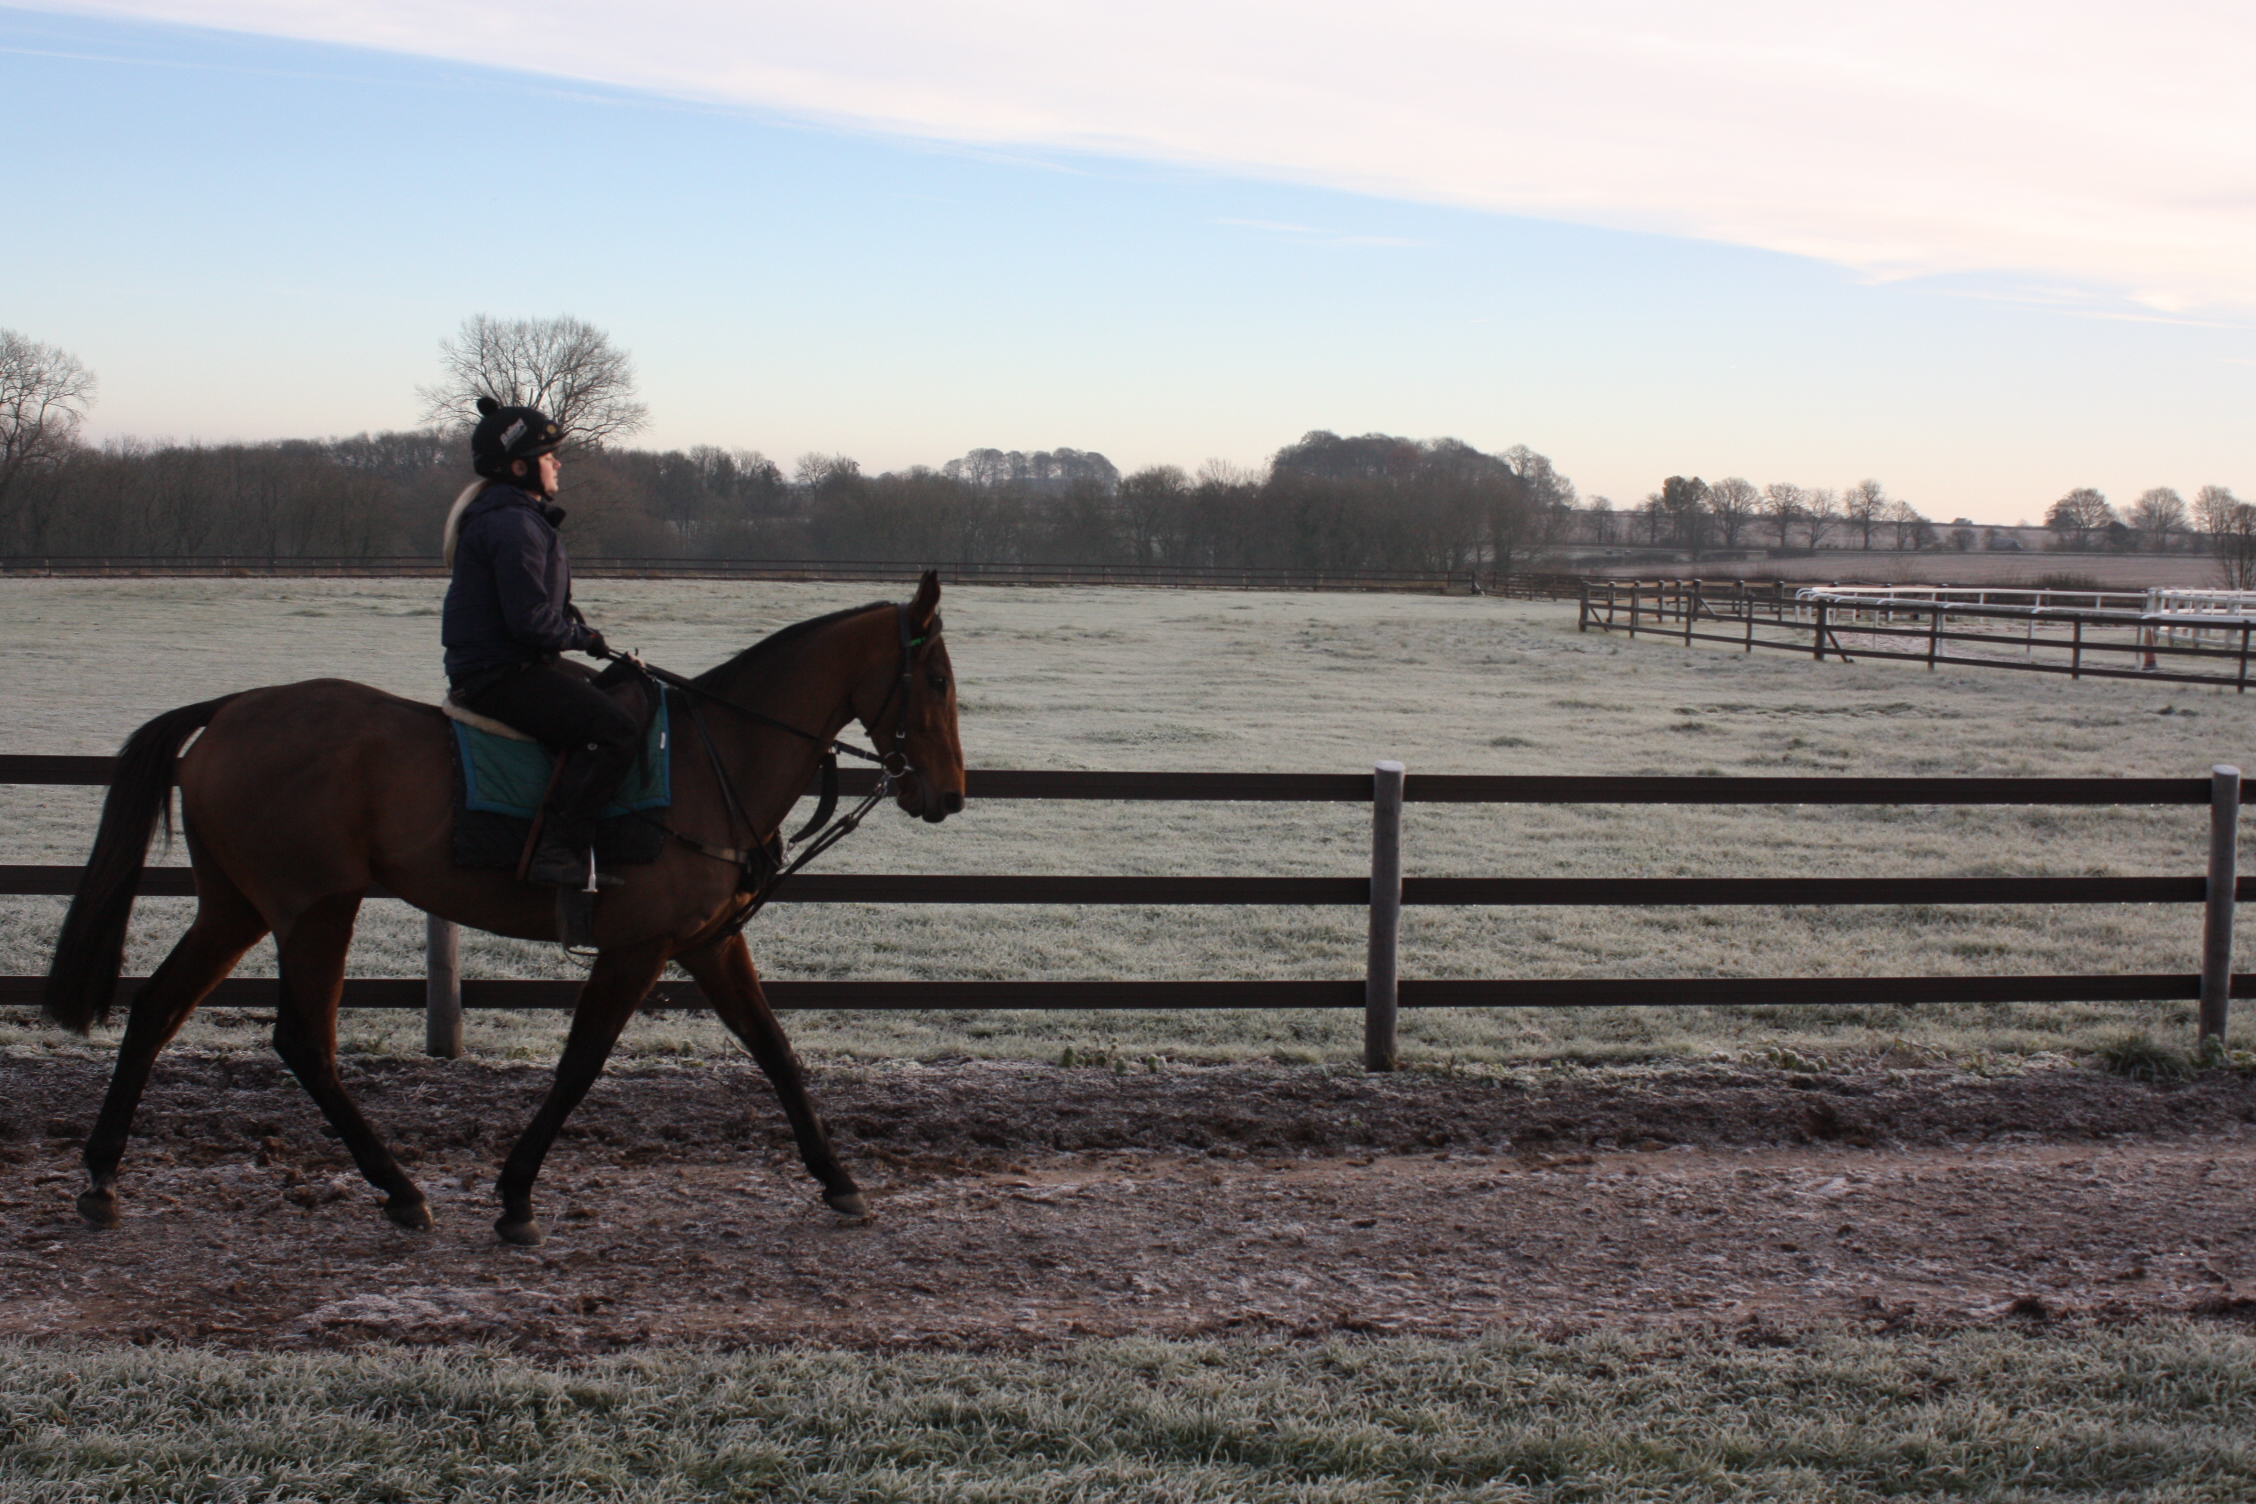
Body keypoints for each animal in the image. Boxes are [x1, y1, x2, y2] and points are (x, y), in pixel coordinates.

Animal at [43, 570, 961, 1244]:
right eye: (937, 680)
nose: (949, 794)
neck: (712, 760)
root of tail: (233, 708)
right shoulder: (640, 946)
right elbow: (582, 1062)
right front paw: (516, 1193)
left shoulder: (705, 943)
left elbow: (775, 1052)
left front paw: (838, 1180)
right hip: (315, 909)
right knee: (304, 1042)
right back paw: (399, 1189)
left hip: (236, 907)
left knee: (158, 1010)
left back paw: (103, 1175)